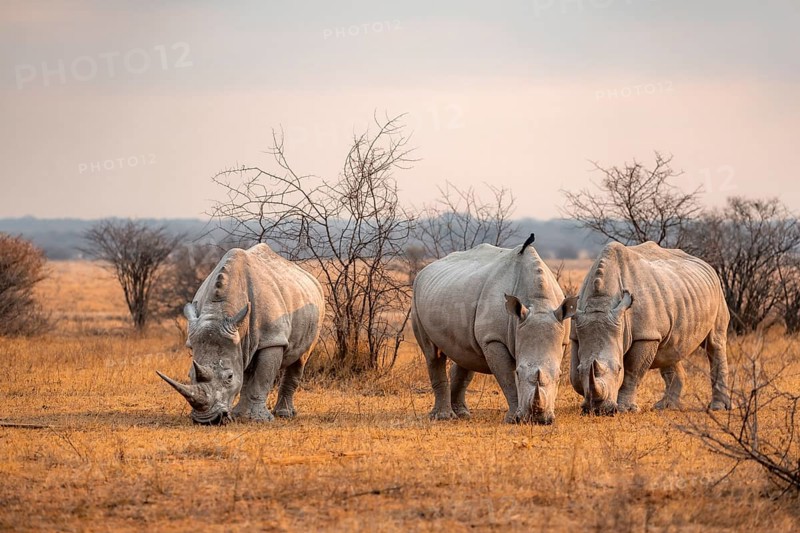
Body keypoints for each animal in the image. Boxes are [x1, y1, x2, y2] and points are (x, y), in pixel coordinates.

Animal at [157, 243, 325, 425]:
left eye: (229, 377)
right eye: (189, 375)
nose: (207, 420)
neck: (219, 311)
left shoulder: (272, 338)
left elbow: (262, 377)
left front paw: (259, 419)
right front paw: (241, 416)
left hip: (316, 306)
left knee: (301, 356)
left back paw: (284, 414)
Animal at [411, 235, 577, 424]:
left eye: (560, 376)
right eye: (519, 373)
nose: (538, 420)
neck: (539, 303)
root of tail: (424, 270)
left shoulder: (562, 339)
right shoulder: (493, 339)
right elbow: (507, 378)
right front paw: (513, 419)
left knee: (466, 354)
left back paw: (462, 414)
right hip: (416, 297)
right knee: (432, 353)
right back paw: (443, 417)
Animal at [570, 241, 731, 415]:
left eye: (619, 369)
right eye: (580, 369)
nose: (600, 410)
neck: (600, 304)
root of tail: (708, 265)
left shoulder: (646, 335)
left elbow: (632, 372)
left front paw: (626, 409)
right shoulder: (576, 334)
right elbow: (573, 376)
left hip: (718, 292)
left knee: (715, 342)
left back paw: (718, 407)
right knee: (670, 348)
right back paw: (666, 406)